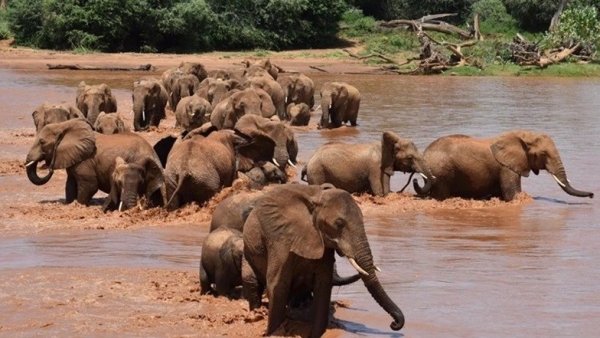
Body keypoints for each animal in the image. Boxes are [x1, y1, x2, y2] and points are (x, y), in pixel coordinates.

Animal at [24, 119, 164, 209]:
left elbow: (90, 185)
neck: (63, 125)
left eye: (42, 142)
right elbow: (70, 185)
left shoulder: (85, 160)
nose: (48, 167)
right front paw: (69, 204)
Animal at [241, 184, 406, 336]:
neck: (315, 199)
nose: (394, 324)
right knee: (252, 282)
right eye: (339, 224)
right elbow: (278, 285)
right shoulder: (281, 238)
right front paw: (273, 333)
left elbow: (323, 287)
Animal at [302, 131, 434, 197]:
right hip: (317, 172)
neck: (386, 146)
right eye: (410, 158)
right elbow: (382, 193)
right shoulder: (376, 168)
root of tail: (310, 160)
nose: (415, 180)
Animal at [410, 131, 592, 202]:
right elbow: (513, 195)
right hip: (441, 171)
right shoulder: (506, 168)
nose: (592, 195)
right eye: (543, 154)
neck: (522, 135)